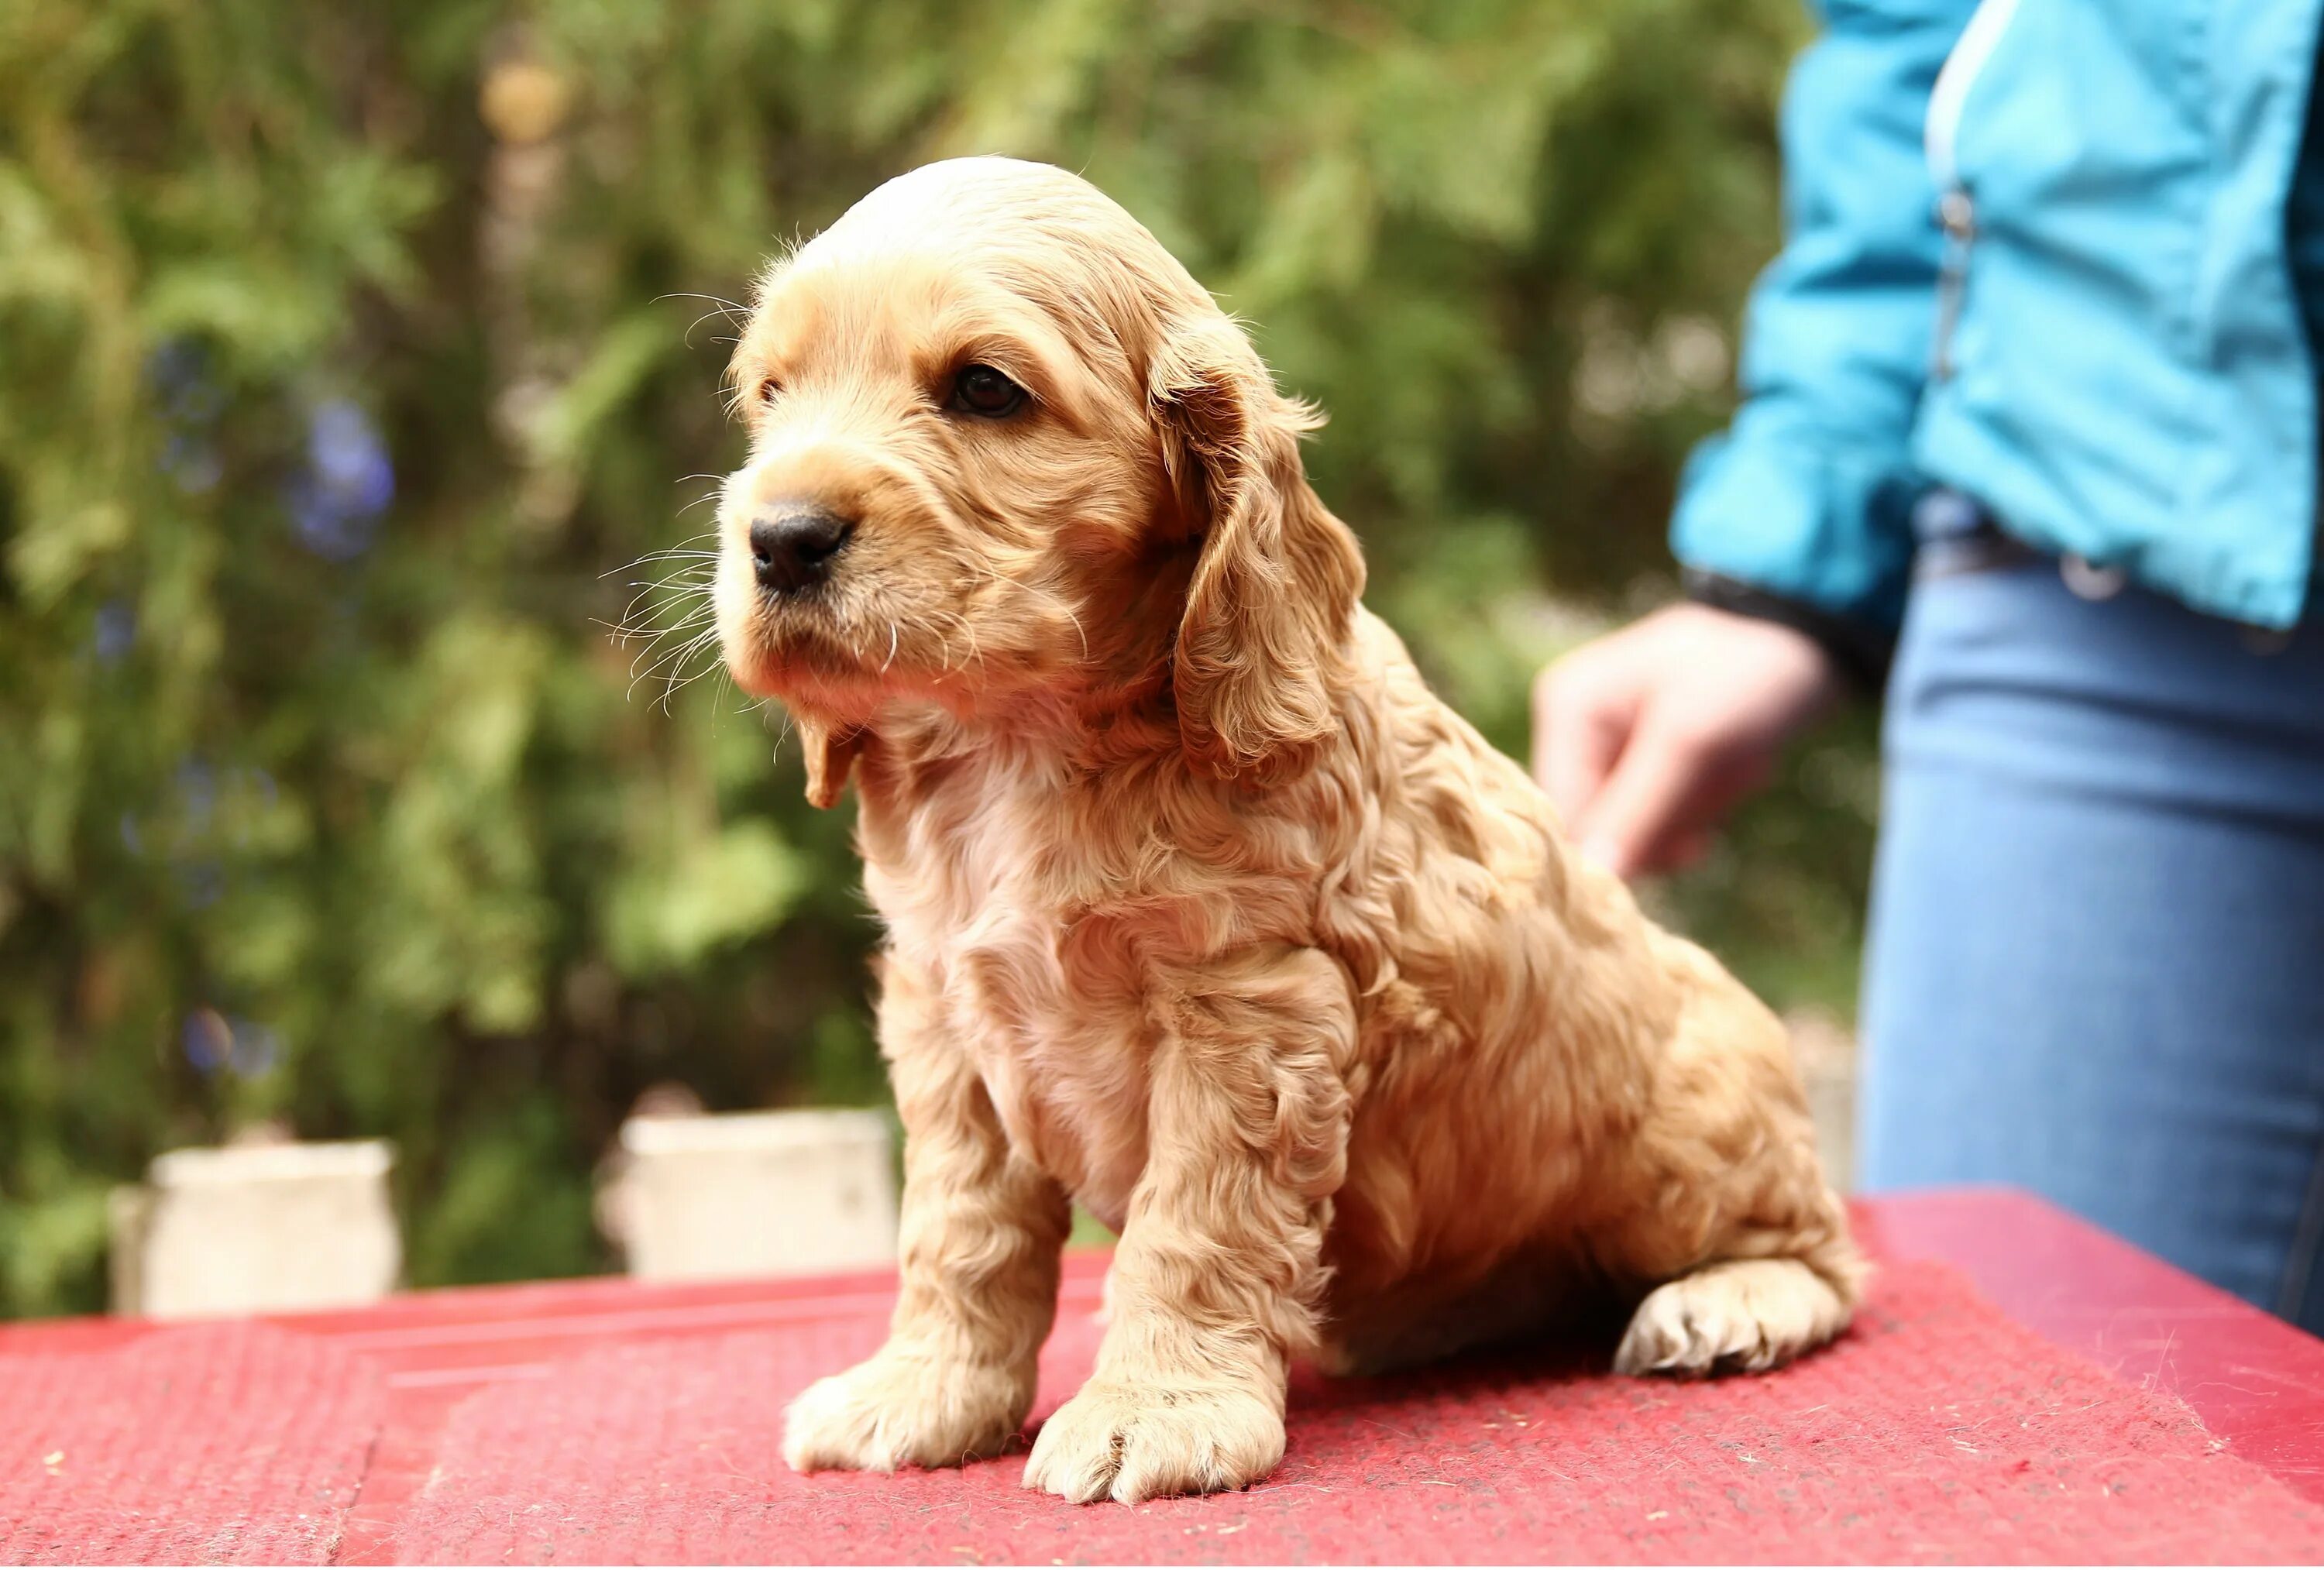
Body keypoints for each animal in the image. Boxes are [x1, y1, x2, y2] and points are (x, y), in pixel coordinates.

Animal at [716, 159, 1859, 1505]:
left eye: (985, 389)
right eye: (770, 395)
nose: (779, 537)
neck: (1025, 743)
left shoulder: (1249, 1012)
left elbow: (1191, 1223)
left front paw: (1151, 1410)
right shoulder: (947, 1016)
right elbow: (962, 1229)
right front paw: (926, 1390)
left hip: (1691, 1118)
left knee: (1819, 1243)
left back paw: (1734, 1297)